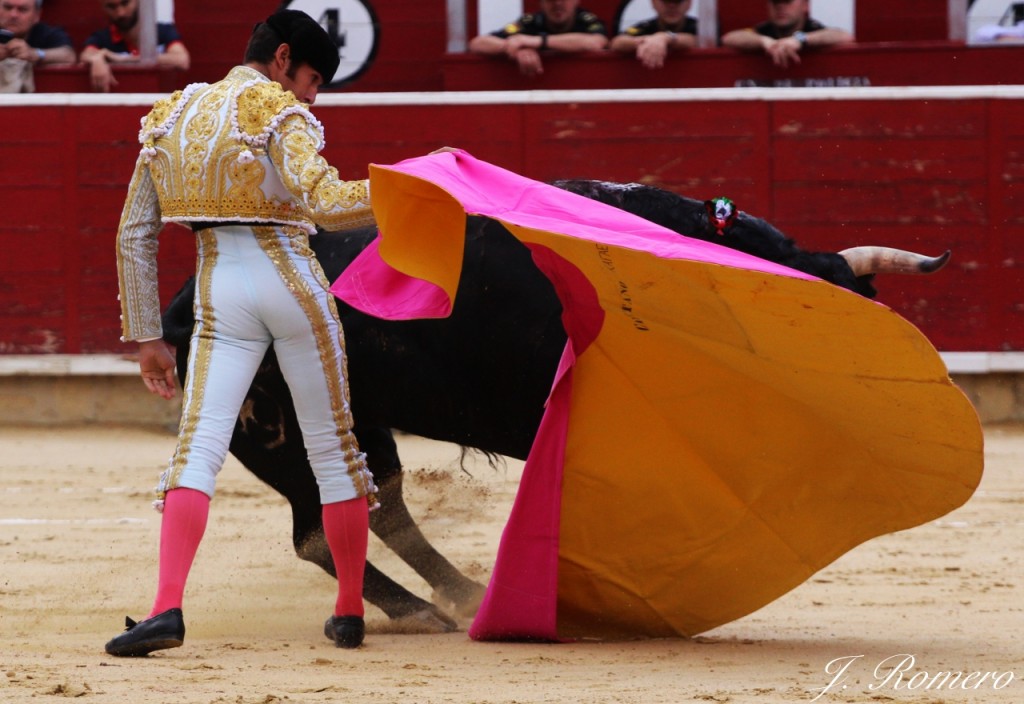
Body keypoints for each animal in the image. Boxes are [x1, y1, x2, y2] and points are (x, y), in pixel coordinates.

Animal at [159, 181, 950, 634]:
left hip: (358, 425)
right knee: (319, 531)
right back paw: (422, 610)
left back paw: (461, 593)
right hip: (282, 432)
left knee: (377, 506)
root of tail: (177, 306)